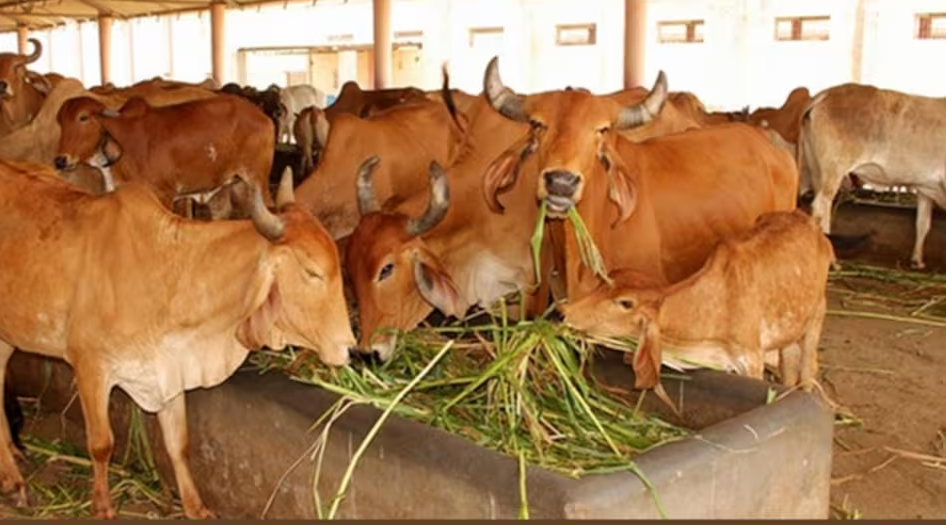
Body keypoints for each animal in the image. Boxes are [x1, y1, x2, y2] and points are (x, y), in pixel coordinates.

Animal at [0, 160, 355, 519]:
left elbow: (179, 444)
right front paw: (102, 506)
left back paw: (14, 458)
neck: (166, 271)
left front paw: (195, 506)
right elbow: (101, 444)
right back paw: (16, 484)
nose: (349, 345)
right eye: (312, 272)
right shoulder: (90, 366)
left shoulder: (169, 369)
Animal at [54, 93, 275, 220]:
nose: (60, 160)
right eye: (60, 121)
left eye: (83, 117)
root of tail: (263, 117)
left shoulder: (164, 195)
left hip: (258, 179)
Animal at [561, 210, 834, 393]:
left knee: (808, 369)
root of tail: (812, 224)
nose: (564, 311)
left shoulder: (751, 360)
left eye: (625, 303)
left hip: (817, 316)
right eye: (603, 282)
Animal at [798, 82, 946, 270]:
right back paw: (832, 262)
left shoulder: (925, 187)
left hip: (817, 169)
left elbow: (923, 223)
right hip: (834, 168)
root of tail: (826, 93)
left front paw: (917, 260)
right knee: (820, 206)